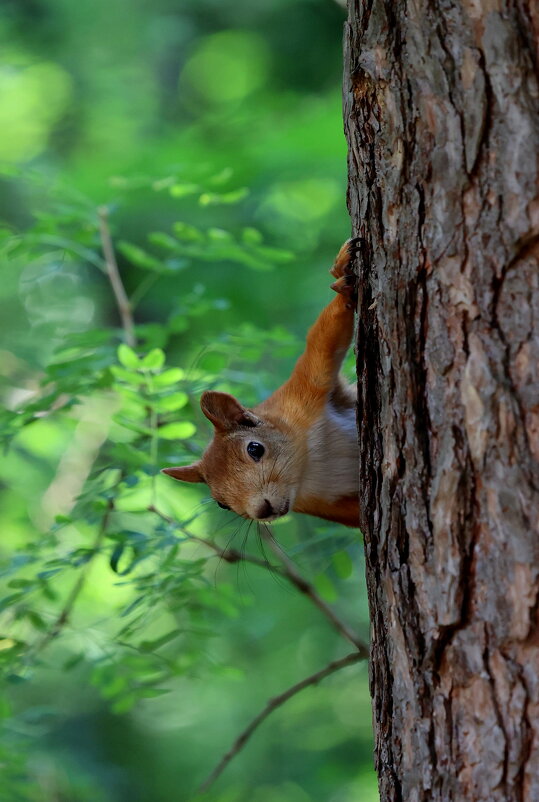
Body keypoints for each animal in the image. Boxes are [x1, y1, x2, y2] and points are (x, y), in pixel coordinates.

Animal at [162, 238, 360, 524]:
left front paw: (343, 278)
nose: (262, 510)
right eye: (221, 504)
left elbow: (324, 339)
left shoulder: (304, 394)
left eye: (255, 449)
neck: (308, 468)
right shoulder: (322, 504)